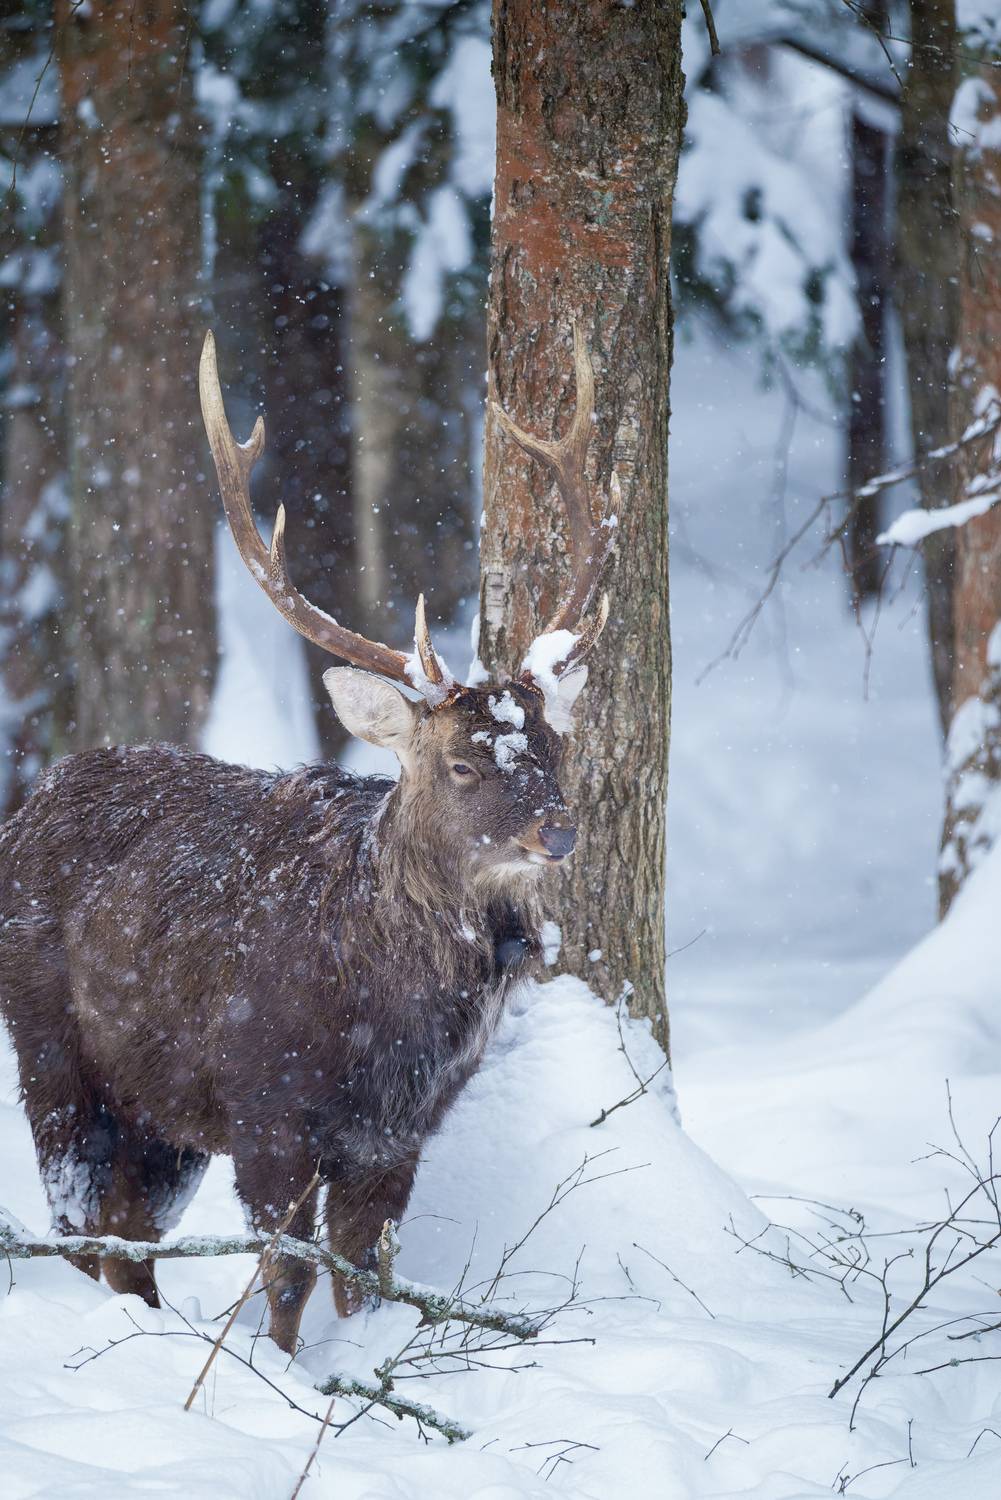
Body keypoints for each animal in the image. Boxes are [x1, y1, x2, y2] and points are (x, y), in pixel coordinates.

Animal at [0, 326, 617, 1352]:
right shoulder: (267, 1109)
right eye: (461, 765)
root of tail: (28, 798)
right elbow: (286, 1278)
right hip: (52, 1049)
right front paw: (276, 1377)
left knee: (129, 1234)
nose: (558, 831)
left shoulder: (394, 1138)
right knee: (79, 1221)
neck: (385, 1023)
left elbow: (363, 1280)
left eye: (554, 749)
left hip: (160, 1110)